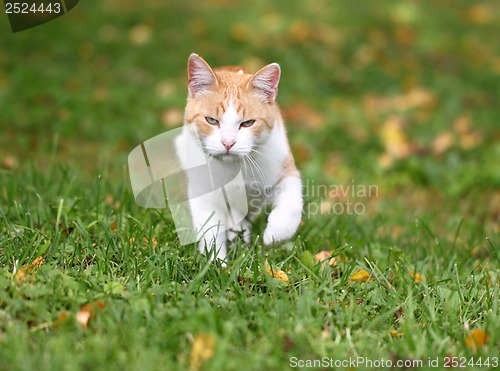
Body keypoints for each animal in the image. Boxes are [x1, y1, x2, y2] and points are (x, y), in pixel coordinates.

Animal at [176, 53, 300, 264]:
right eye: (211, 120)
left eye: (248, 123)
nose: (228, 143)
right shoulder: (204, 194)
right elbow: (211, 229)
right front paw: (216, 262)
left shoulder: (282, 168)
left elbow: (292, 199)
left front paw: (276, 233)